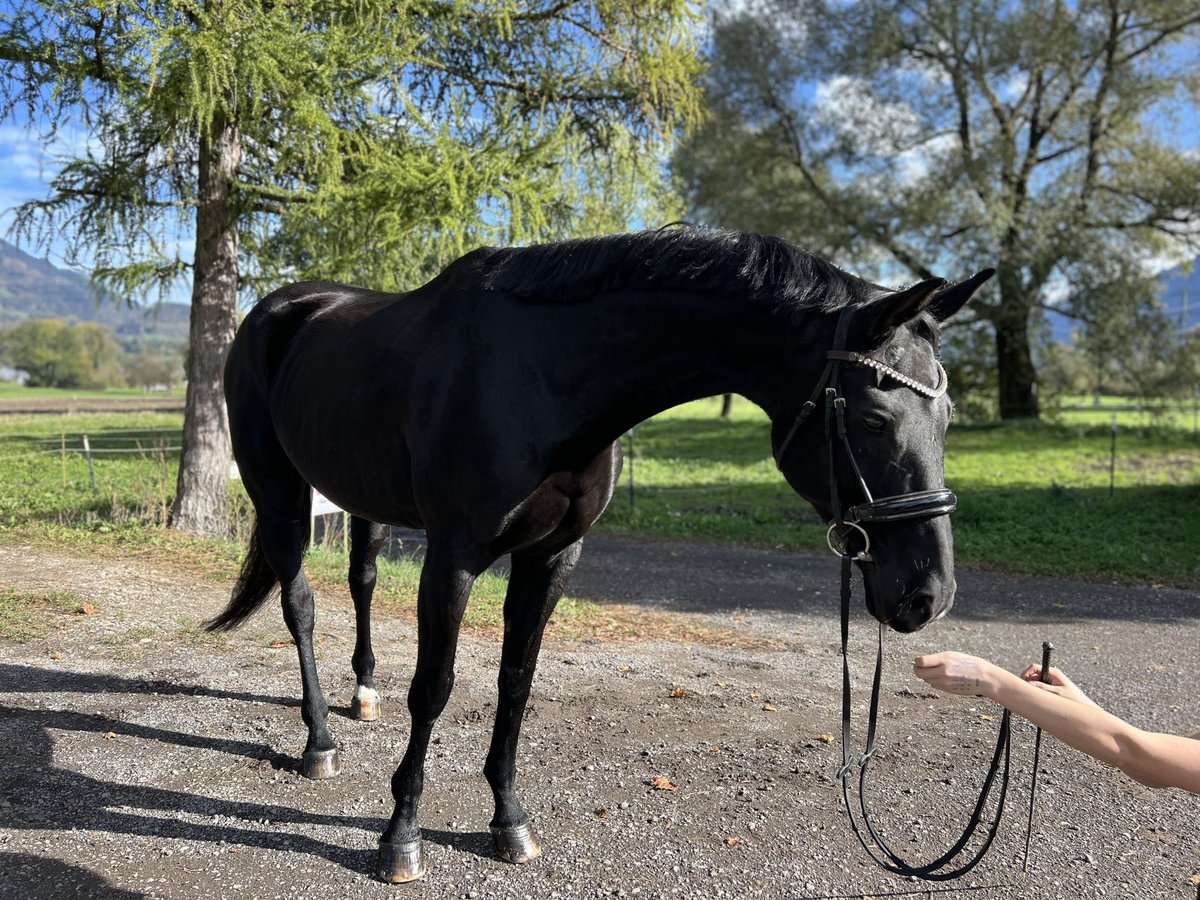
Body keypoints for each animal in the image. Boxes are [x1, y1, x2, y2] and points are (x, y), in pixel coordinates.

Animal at [208, 225, 993, 883]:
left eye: (949, 418)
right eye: (874, 417)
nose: (928, 594)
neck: (544, 374)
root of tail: (277, 310)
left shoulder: (554, 556)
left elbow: (516, 684)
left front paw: (509, 822)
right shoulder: (454, 555)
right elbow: (434, 688)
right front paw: (400, 836)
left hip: (359, 499)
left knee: (362, 580)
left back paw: (362, 694)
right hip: (279, 494)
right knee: (300, 605)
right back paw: (318, 742)